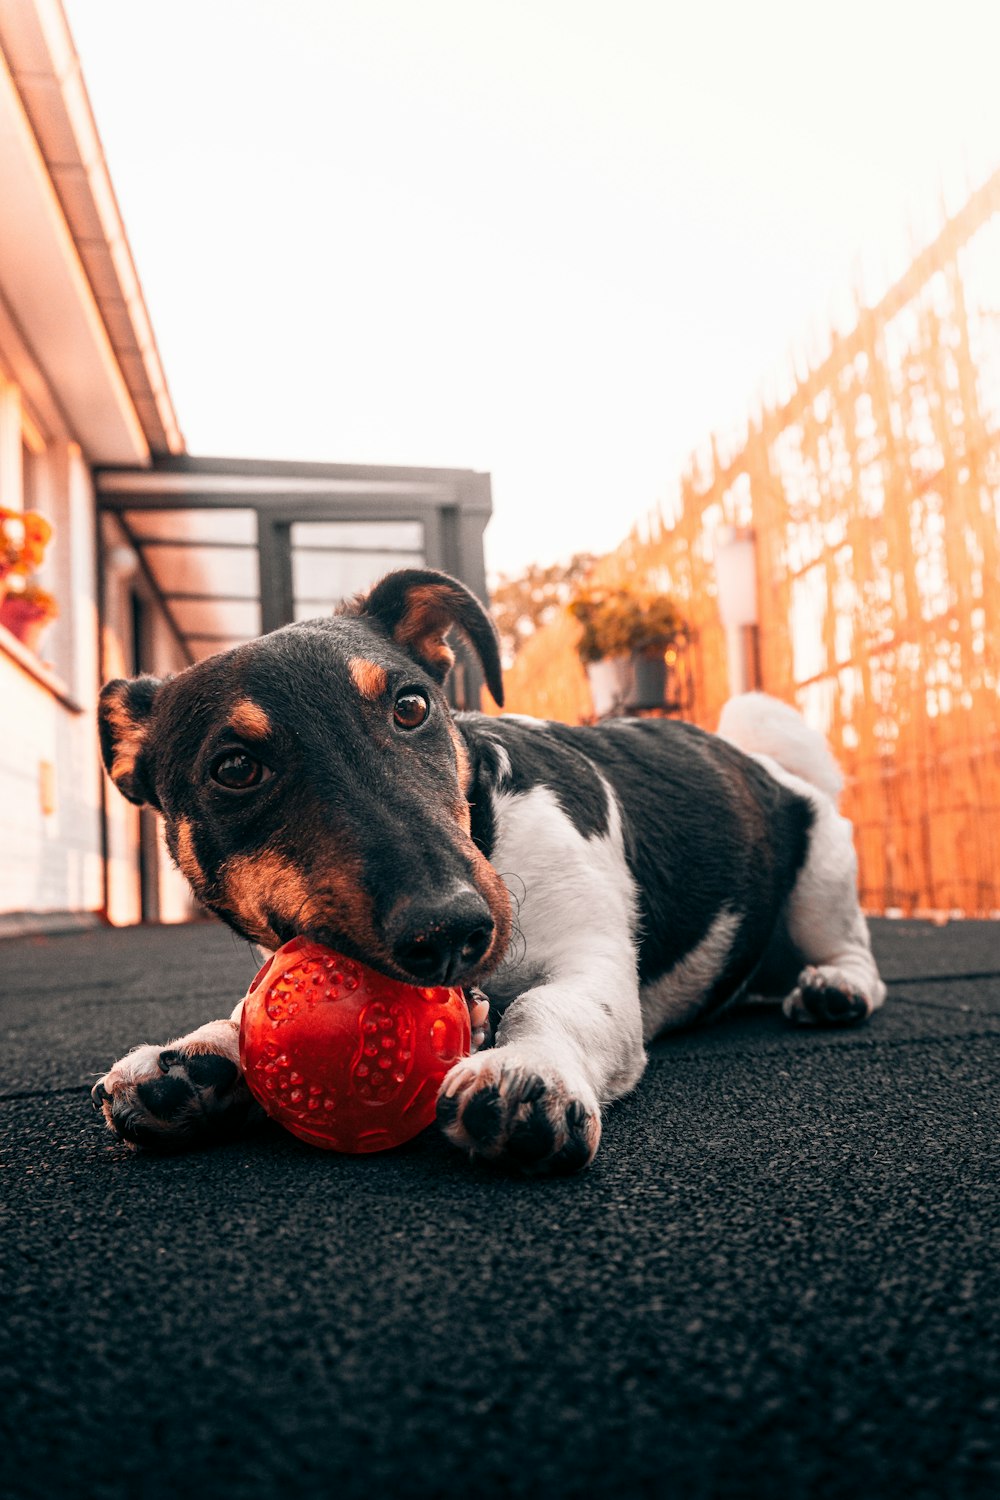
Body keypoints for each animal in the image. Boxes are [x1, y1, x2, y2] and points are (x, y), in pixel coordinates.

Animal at [91, 570, 881, 1170]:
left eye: (412, 705)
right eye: (234, 769)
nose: (450, 930)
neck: (488, 834)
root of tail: (765, 764)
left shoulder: (591, 963)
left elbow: (545, 1007)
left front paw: (527, 1070)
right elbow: (243, 1020)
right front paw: (194, 1058)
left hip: (821, 880)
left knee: (853, 951)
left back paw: (835, 987)